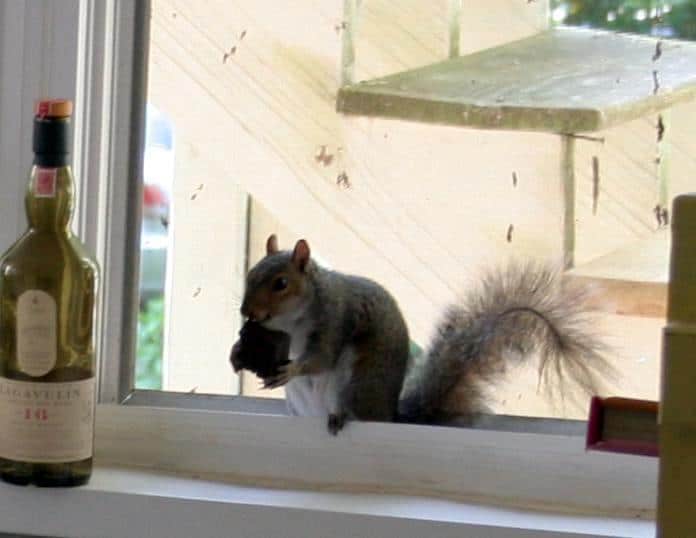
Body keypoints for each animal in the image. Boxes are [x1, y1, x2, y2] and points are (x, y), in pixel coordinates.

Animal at [231, 233, 612, 432]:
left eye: (281, 284)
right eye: (250, 274)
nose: (246, 312)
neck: (291, 322)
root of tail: (390, 416)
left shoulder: (336, 318)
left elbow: (321, 357)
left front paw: (293, 367)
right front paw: (237, 356)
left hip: (354, 384)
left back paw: (341, 416)